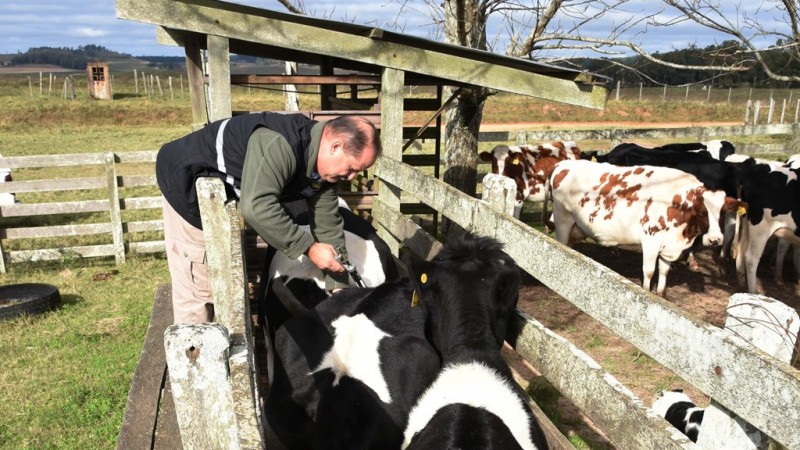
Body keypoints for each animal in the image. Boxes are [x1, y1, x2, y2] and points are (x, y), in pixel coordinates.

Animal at [548, 160, 748, 298]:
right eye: (701, 211)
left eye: (723, 212)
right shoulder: (651, 240)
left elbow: (664, 271)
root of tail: (563, 164)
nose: (715, 239)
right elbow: (649, 270)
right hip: (563, 221)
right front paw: (646, 291)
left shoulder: (670, 245)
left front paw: (661, 294)